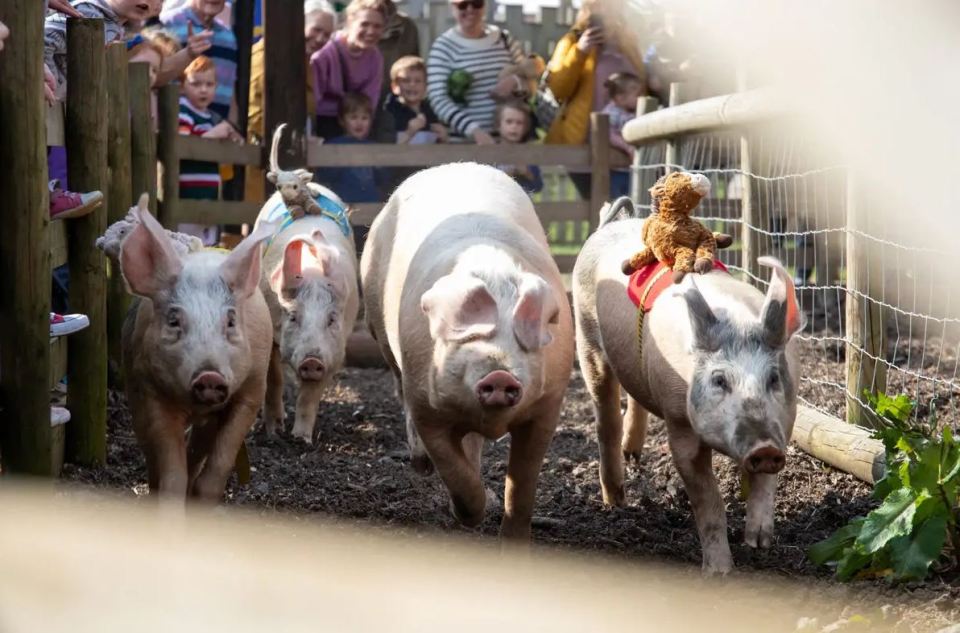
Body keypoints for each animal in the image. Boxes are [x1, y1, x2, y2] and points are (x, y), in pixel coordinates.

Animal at [251, 184, 360, 440]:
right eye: (293, 317)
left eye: (331, 319)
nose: (311, 360)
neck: (313, 275)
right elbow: (274, 378)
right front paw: (274, 432)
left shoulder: (334, 352)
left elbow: (310, 396)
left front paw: (301, 438)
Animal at [358, 162, 568, 540]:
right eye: (465, 340)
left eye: (520, 343)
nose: (499, 374)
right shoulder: (426, 406)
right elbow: (452, 468)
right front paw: (467, 515)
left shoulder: (549, 404)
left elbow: (523, 483)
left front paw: (513, 544)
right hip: (377, 326)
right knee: (399, 390)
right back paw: (420, 465)